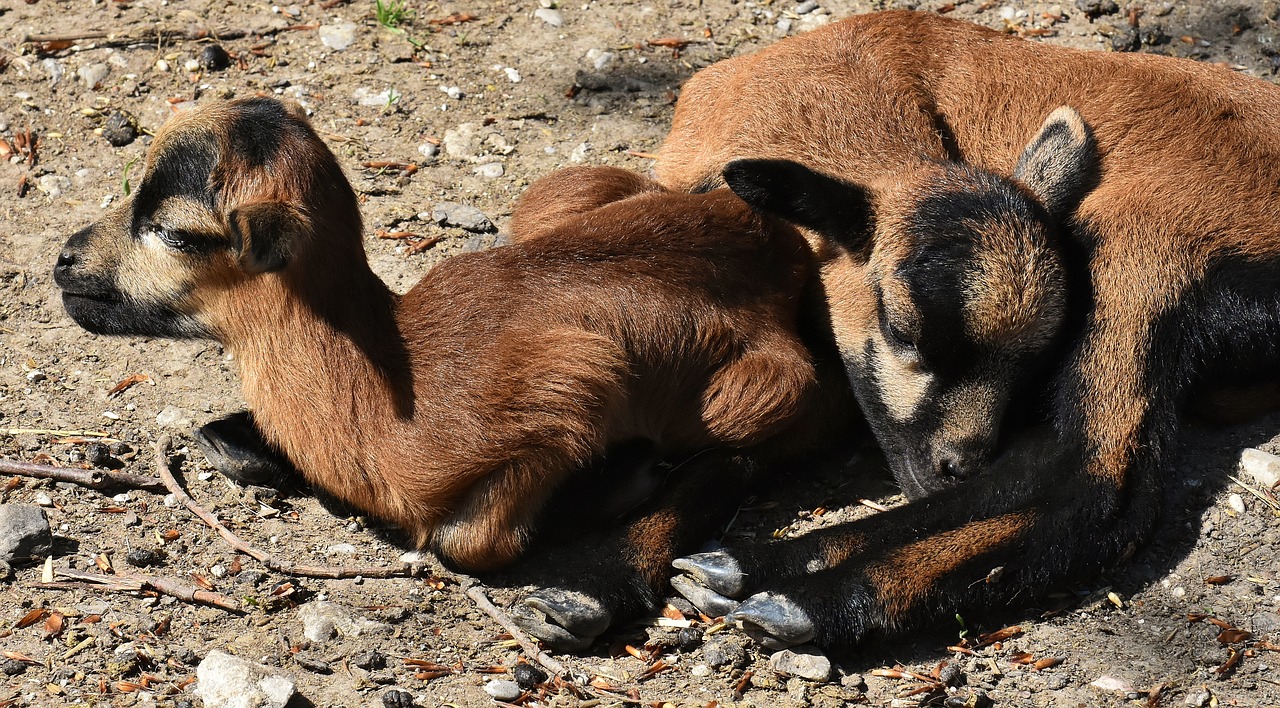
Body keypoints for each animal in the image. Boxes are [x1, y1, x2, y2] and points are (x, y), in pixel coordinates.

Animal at [57, 97, 839, 586]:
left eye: (177, 232)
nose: (64, 261)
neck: (375, 403)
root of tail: (774, 238)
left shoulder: (569, 386)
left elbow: (468, 543)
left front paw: (622, 479)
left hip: (761, 387)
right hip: (560, 195)